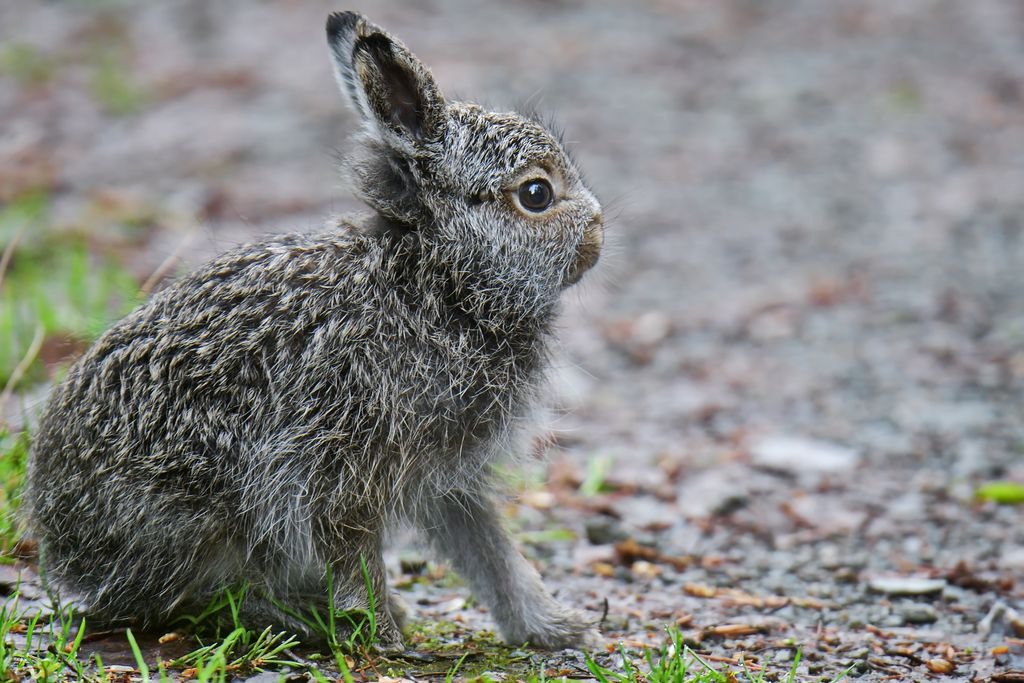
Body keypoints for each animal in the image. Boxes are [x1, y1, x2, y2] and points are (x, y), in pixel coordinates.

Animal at [22, 10, 598, 651]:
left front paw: (556, 627)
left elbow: (491, 554)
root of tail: (63, 548)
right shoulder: (342, 465)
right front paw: (384, 636)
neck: (442, 279)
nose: (598, 233)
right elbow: (356, 554)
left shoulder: (447, 475)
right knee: (190, 599)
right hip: (202, 518)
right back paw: (303, 618)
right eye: (536, 194)